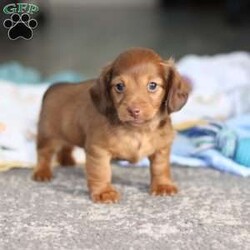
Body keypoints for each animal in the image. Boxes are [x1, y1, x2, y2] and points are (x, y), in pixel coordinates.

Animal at [32, 47, 189, 203]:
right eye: (119, 86)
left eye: (152, 85)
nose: (133, 111)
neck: (137, 131)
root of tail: (54, 86)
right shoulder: (98, 151)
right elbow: (101, 172)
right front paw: (104, 192)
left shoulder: (162, 148)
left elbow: (160, 167)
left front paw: (163, 185)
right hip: (48, 136)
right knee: (43, 154)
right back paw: (42, 172)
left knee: (66, 146)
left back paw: (67, 160)